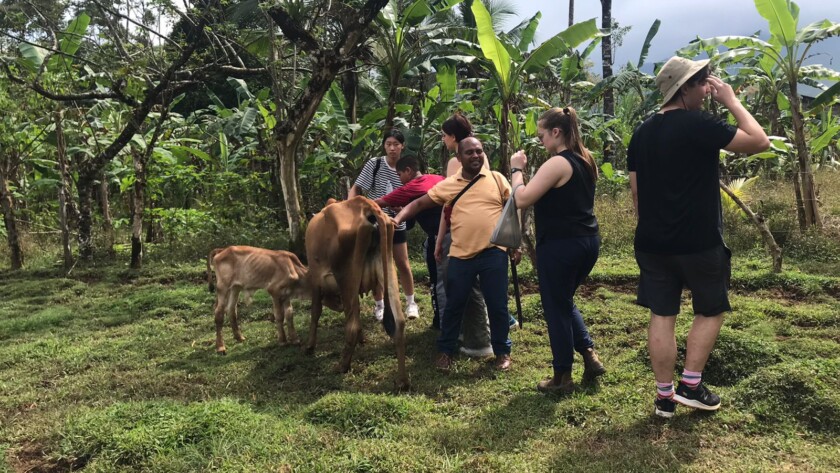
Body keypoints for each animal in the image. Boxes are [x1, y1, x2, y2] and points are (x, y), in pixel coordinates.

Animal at [305, 196, 409, 390]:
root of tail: (367, 206)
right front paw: (362, 341)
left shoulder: (315, 280)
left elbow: (315, 312)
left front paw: (309, 346)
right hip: (387, 268)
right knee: (398, 322)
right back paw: (402, 381)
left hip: (346, 277)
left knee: (352, 326)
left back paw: (342, 366)